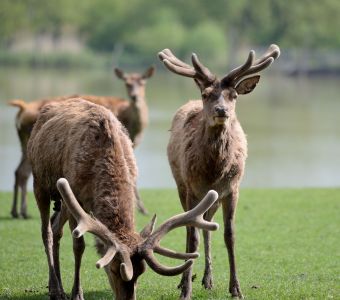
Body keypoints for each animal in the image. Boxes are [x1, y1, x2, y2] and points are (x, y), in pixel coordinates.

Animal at [7, 67, 154, 219]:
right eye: (127, 83)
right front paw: (143, 209)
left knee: (19, 171)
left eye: (143, 83)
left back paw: (16, 211)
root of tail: (22, 109)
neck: (134, 127)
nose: (135, 96)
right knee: (24, 173)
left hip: (25, 144)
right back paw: (23, 211)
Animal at [25, 99, 218, 300]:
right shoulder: (74, 196)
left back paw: (56, 287)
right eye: (113, 269)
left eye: (141, 272)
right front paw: (77, 293)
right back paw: (55, 289)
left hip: (61, 201)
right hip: (40, 182)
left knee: (55, 227)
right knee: (46, 231)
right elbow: (78, 245)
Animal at [158, 43, 280, 298]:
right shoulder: (192, 188)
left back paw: (208, 279)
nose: (221, 110)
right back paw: (184, 280)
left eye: (234, 95)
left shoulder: (232, 189)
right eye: (206, 94)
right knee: (190, 227)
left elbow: (229, 235)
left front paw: (236, 289)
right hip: (180, 186)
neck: (214, 171)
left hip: (212, 199)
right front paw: (186, 290)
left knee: (208, 226)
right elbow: (192, 234)